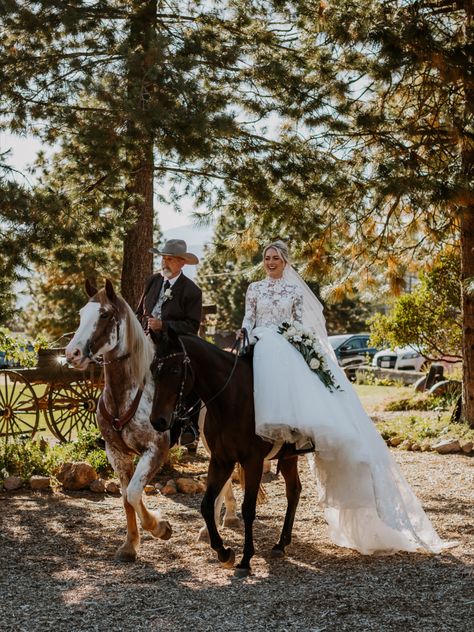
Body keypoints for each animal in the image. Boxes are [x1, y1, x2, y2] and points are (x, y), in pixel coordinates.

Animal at [150, 334, 302, 576]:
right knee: (294, 491)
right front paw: (223, 552)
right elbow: (206, 504)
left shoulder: (252, 462)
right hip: (288, 456)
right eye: (153, 369)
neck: (232, 399)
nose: (158, 421)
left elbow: (248, 509)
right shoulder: (221, 460)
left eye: (175, 370)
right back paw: (281, 543)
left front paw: (246, 558)